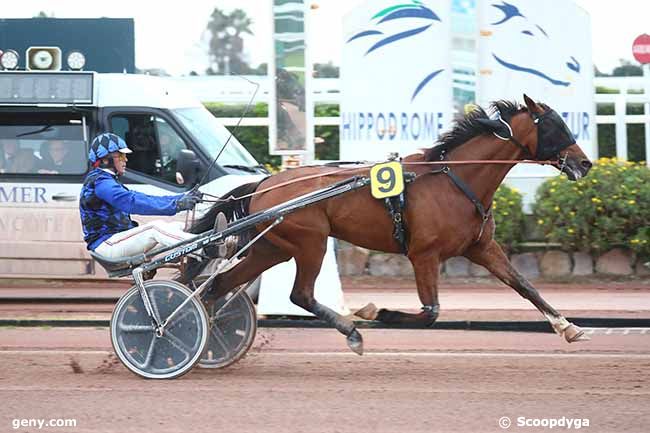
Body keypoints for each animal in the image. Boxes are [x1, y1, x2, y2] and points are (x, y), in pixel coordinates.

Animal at [180, 94, 588, 354]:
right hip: (310, 242)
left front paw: (567, 327)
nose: (584, 163)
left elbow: (525, 286)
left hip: (272, 248)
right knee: (300, 295)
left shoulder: (482, 248)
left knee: (219, 285)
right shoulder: (424, 255)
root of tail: (265, 183)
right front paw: (376, 312)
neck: (454, 179)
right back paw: (352, 331)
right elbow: (430, 313)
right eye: (554, 126)